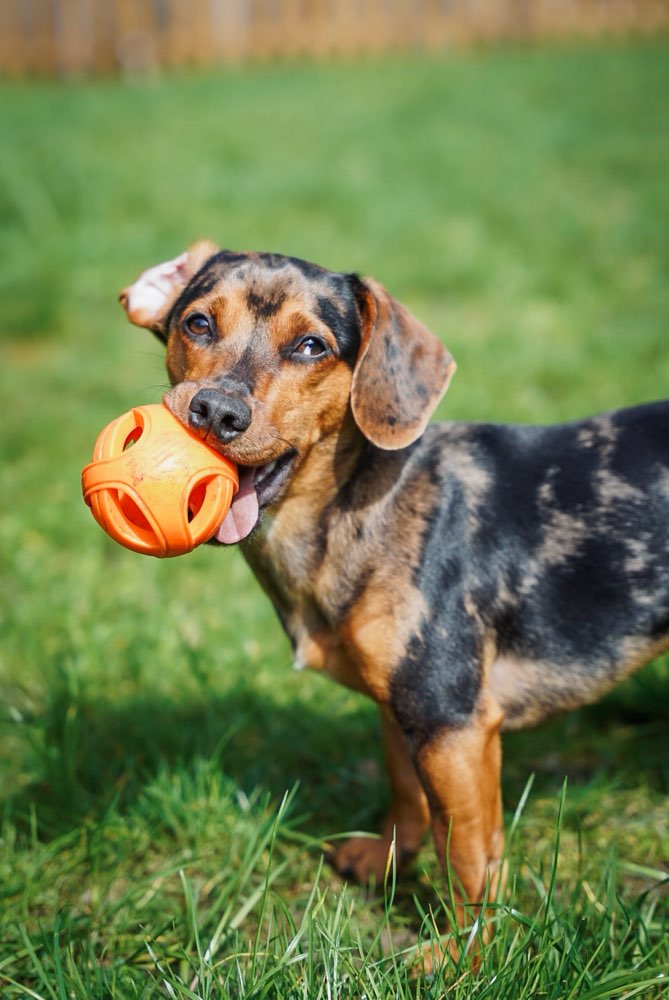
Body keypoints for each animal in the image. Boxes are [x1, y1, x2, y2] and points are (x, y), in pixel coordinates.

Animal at [120, 238, 668, 964]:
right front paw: (386, 862)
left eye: (311, 346)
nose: (215, 411)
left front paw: (464, 956)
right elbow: (407, 796)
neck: (347, 508)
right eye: (198, 323)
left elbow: (467, 852)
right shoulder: (398, 710)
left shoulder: (449, 722)